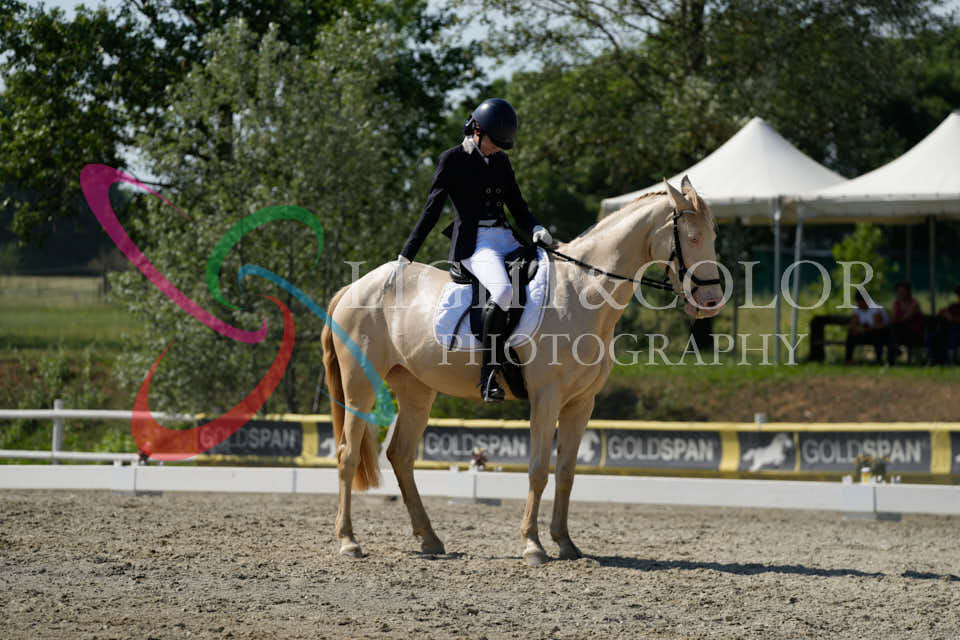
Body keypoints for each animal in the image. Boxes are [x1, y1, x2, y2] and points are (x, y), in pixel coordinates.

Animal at [321, 176, 725, 566]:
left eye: (713, 236)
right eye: (692, 237)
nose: (710, 303)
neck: (581, 292)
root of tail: (355, 287)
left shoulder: (581, 403)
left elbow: (566, 472)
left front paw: (565, 543)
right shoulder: (547, 398)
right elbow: (538, 469)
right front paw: (533, 545)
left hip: (417, 390)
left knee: (401, 456)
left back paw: (430, 540)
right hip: (360, 386)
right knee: (348, 454)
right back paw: (349, 541)